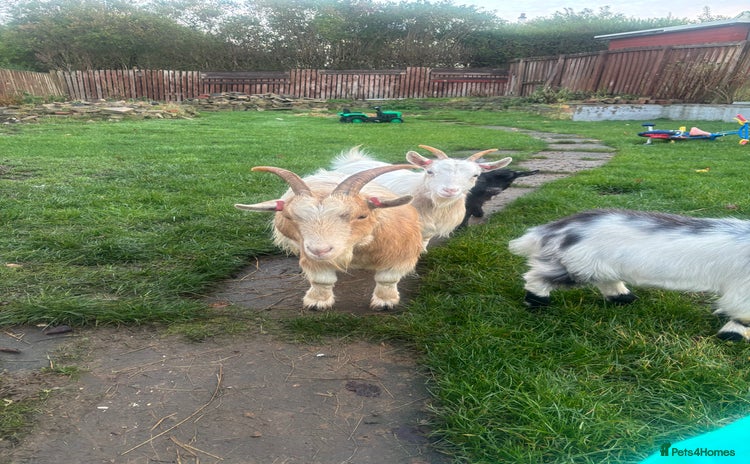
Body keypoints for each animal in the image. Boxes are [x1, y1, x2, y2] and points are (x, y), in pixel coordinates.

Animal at [235, 164, 424, 311]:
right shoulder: (310, 255)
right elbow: (321, 280)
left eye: (362, 216)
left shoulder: (400, 253)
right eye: (288, 217)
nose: (320, 250)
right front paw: (317, 302)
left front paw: (385, 302)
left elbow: (387, 278)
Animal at [508, 208, 750, 341]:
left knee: (608, 283)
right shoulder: (743, 291)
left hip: (599, 267)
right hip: (578, 267)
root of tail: (552, 230)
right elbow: (742, 317)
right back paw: (537, 301)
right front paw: (732, 336)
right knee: (536, 277)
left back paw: (623, 298)